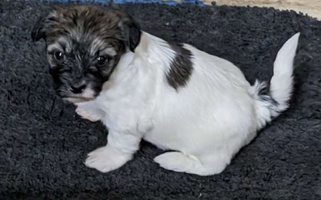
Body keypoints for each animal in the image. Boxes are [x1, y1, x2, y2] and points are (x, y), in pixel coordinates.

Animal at [31, 5, 298, 175]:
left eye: (101, 59)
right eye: (58, 55)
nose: (76, 87)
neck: (116, 72)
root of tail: (256, 103)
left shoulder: (127, 122)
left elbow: (119, 143)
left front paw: (106, 159)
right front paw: (90, 107)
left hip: (212, 150)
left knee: (211, 168)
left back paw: (171, 160)